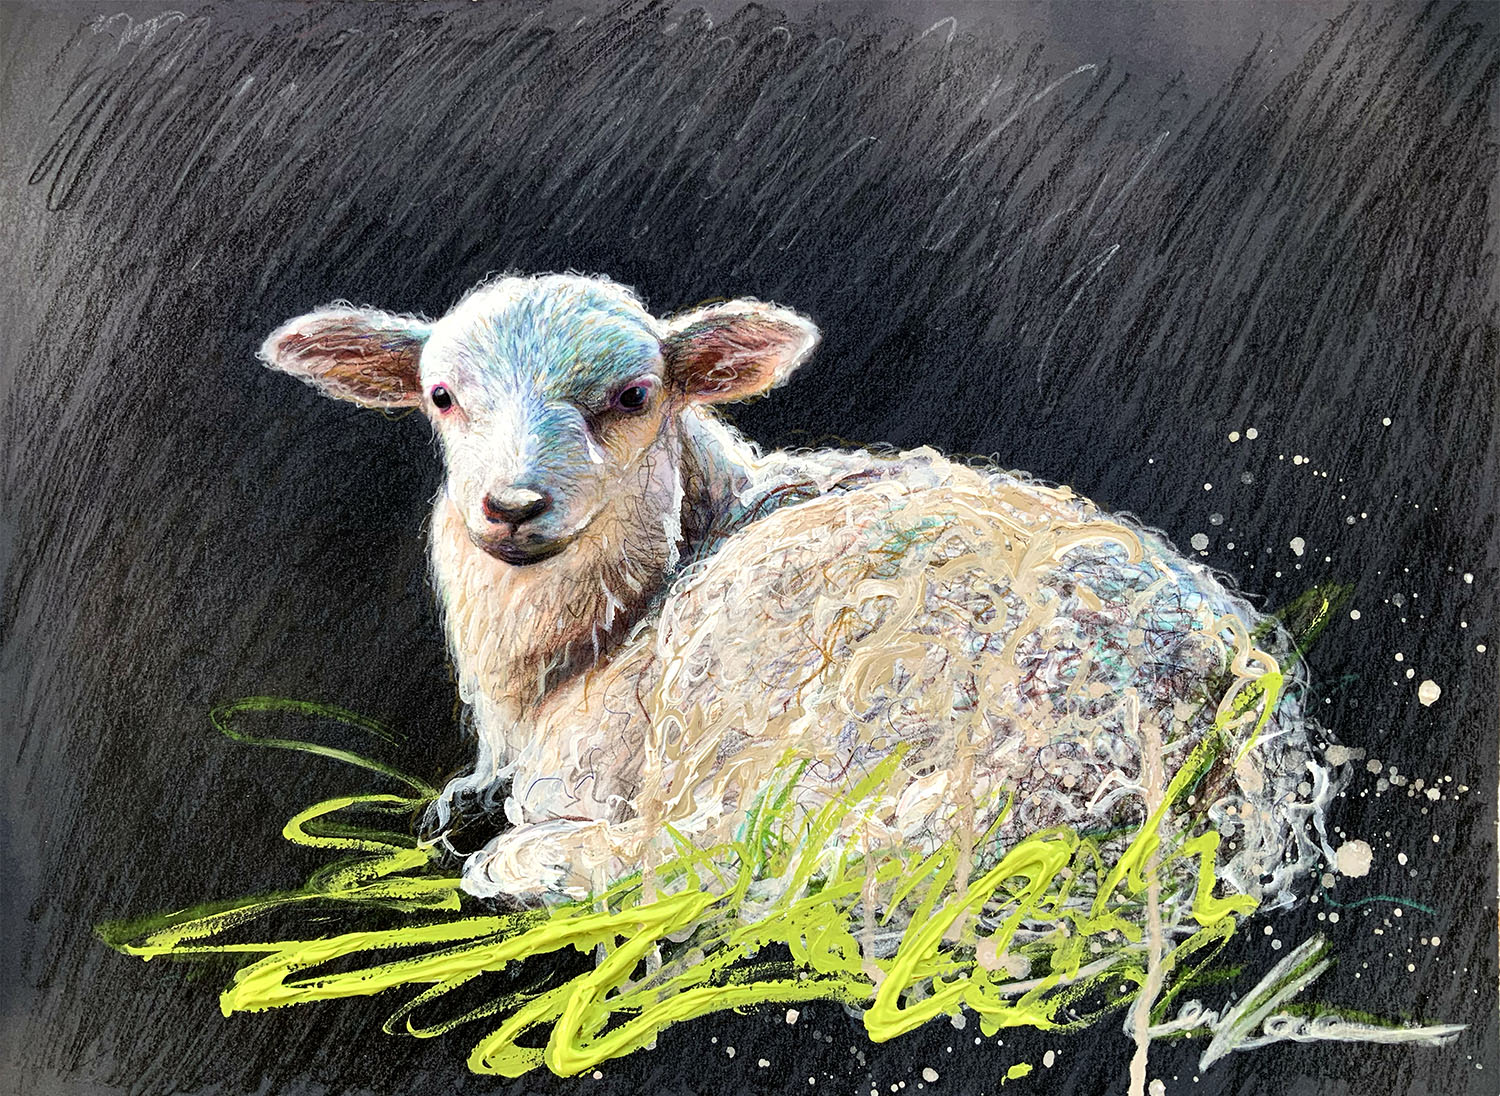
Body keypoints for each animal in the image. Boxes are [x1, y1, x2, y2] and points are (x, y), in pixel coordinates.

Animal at [259, 273, 1340, 918]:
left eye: (635, 397)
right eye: (442, 397)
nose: (513, 506)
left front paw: (508, 838)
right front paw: (461, 802)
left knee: (736, 850)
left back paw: (528, 864)